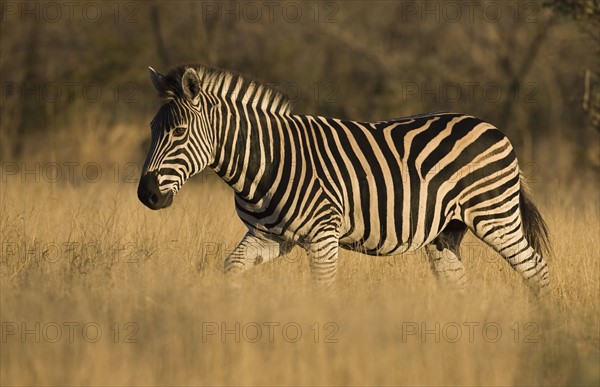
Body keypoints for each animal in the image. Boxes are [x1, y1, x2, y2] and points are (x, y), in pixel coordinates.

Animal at [137, 64, 548, 294]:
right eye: (153, 128)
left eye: (178, 132)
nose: (146, 196)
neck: (267, 161)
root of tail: (493, 128)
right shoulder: (269, 236)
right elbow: (230, 269)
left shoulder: (323, 236)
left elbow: (324, 294)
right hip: (445, 233)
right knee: (458, 285)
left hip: (495, 217)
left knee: (537, 269)